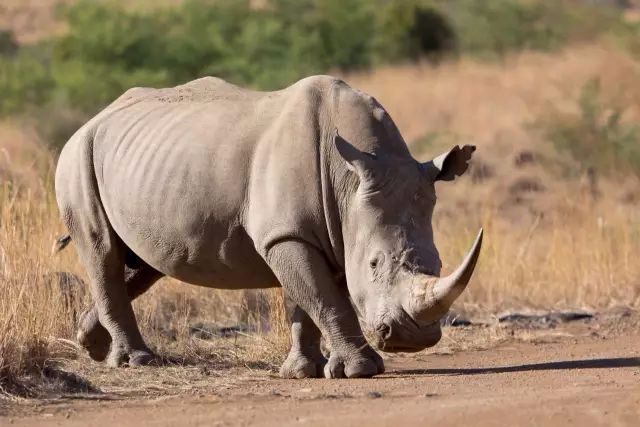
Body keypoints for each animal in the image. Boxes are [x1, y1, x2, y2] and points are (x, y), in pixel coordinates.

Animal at [55, 75, 482, 380]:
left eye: (438, 263)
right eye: (374, 264)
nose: (414, 339)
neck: (350, 180)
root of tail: (93, 119)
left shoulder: (317, 232)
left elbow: (308, 302)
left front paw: (305, 372)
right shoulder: (288, 234)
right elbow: (325, 299)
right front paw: (363, 370)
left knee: (143, 264)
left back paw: (91, 344)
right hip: (77, 156)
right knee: (102, 250)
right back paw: (136, 361)